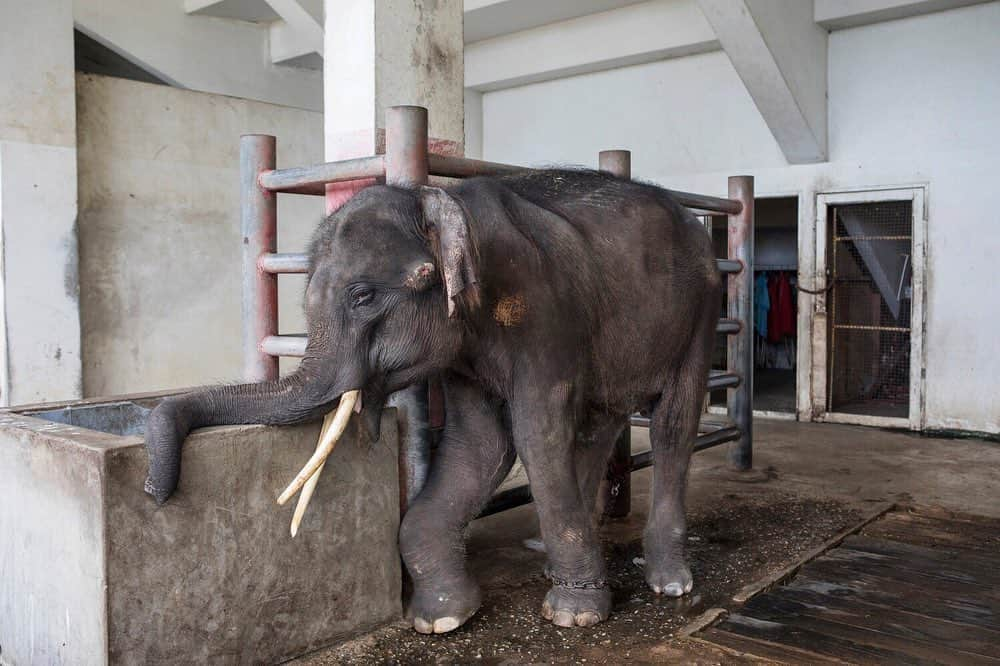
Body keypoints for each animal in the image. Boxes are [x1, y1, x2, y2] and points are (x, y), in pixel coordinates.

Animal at [143, 169, 720, 632]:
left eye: (362, 297)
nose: (155, 493)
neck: (440, 202)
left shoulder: (543, 313)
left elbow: (537, 432)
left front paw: (574, 615)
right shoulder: (464, 346)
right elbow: (480, 444)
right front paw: (440, 618)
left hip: (701, 313)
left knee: (673, 423)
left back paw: (669, 581)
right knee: (602, 422)